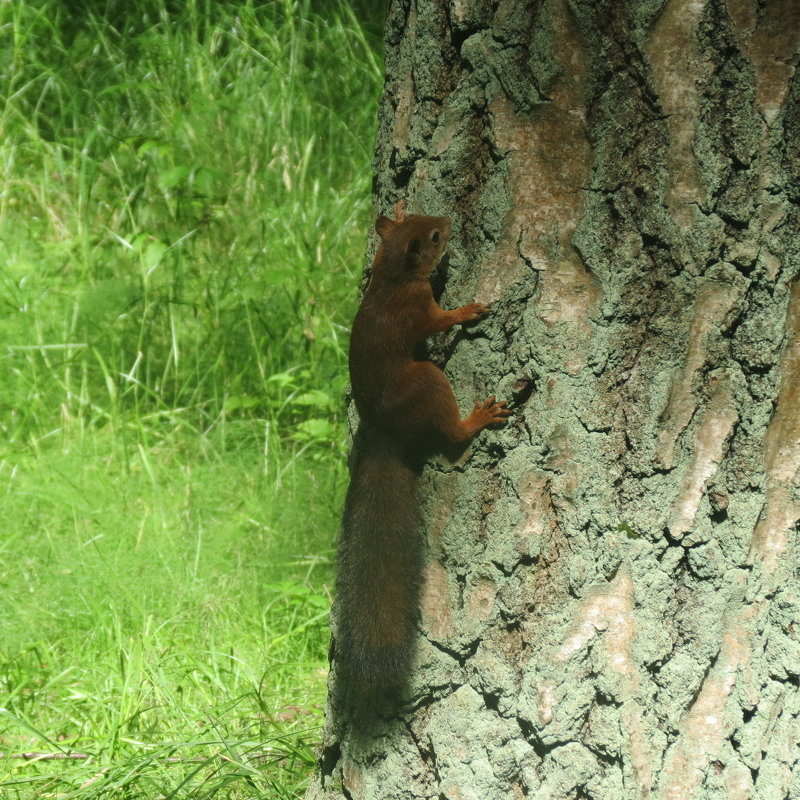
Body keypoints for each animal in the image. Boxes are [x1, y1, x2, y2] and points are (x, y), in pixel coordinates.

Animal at [334, 202, 510, 688]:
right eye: (433, 237)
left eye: (422, 220)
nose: (447, 224)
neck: (392, 275)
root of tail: (383, 430)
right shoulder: (419, 309)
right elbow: (440, 320)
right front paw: (469, 309)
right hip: (427, 380)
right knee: (452, 433)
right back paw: (476, 420)